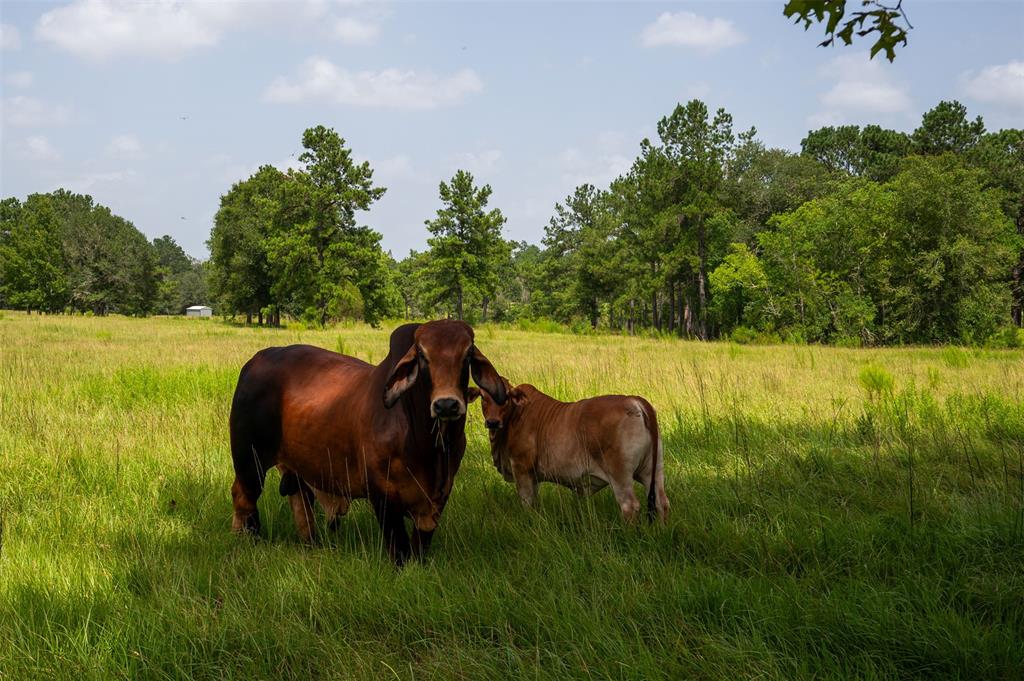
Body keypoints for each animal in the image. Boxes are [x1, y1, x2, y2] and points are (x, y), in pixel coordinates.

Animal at [229, 321, 507, 565]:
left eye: (468, 353)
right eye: (422, 354)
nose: (447, 404)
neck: (428, 446)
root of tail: (256, 360)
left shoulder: (440, 495)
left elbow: (420, 545)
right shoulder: (383, 494)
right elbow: (399, 547)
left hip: (298, 468)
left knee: (301, 503)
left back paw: (312, 544)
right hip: (249, 460)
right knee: (243, 497)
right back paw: (247, 539)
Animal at [473, 376, 667, 520]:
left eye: (505, 397)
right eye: (483, 397)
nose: (492, 421)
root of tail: (634, 400)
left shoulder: (522, 469)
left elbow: (527, 503)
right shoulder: (533, 476)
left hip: (620, 475)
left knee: (629, 506)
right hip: (653, 470)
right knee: (662, 503)